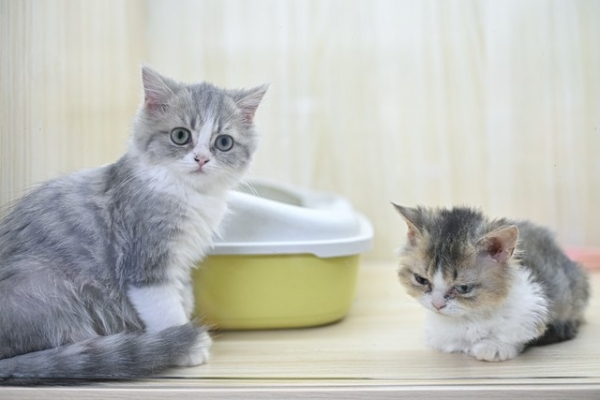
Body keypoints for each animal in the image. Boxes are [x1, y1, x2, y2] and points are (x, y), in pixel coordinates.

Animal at [0, 66, 268, 384]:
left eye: (224, 142)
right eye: (180, 135)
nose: (202, 158)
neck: (188, 193)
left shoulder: (179, 261)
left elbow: (181, 295)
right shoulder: (144, 258)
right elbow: (163, 306)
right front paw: (186, 346)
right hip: (45, 284)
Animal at [393, 205, 590, 362]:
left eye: (463, 288)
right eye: (421, 280)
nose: (437, 304)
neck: (469, 317)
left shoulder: (534, 304)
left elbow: (518, 333)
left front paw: (494, 347)